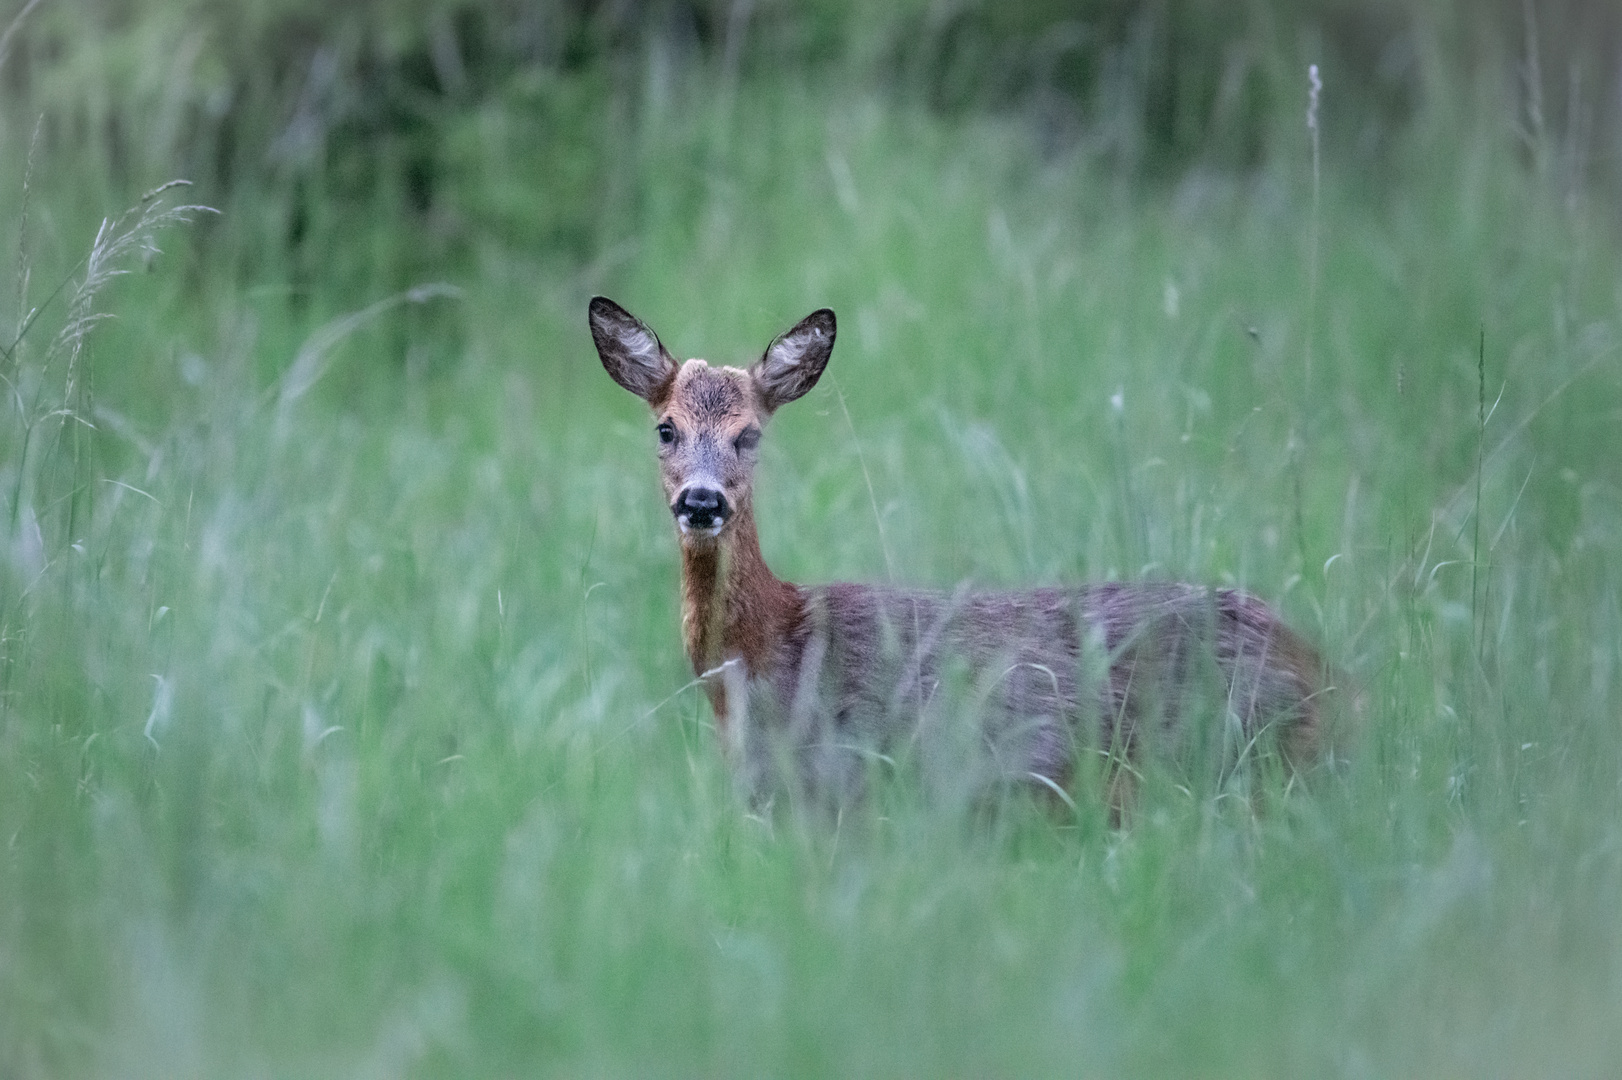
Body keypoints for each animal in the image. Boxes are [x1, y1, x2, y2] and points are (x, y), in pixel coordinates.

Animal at [590, 296, 1336, 817]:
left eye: (749, 435)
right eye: (666, 429)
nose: (702, 501)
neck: (768, 652)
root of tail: (1328, 679)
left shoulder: (847, 784)